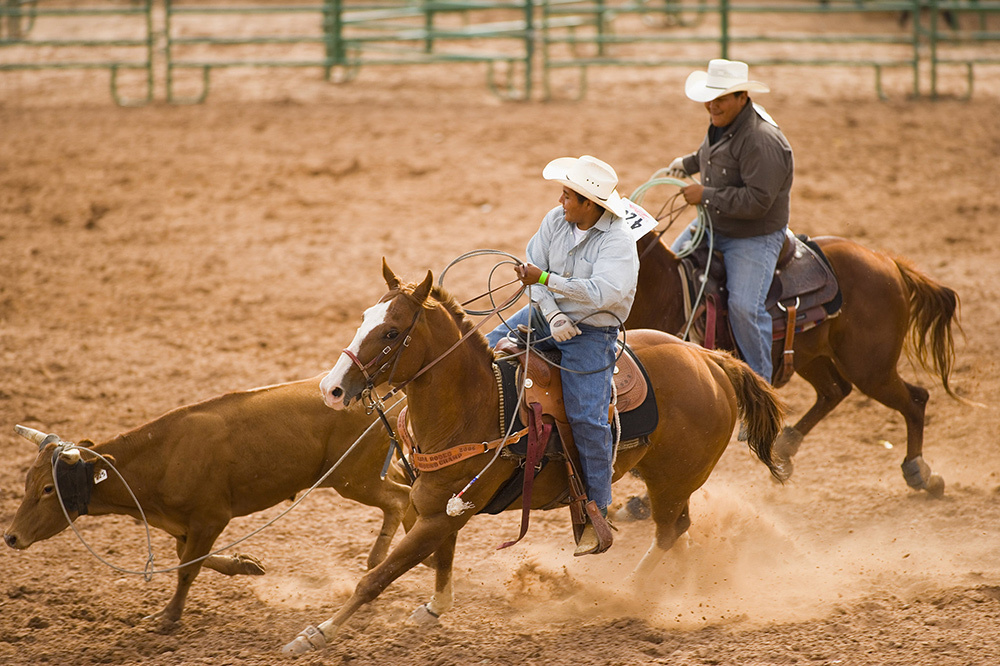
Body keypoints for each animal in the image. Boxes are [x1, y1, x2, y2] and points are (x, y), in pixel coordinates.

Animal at [280, 260, 780, 652]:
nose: (332, 389)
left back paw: (630, 592)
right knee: (681, 532)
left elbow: (379, 576)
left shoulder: (444, 514)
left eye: (391, 331)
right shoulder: (438, 507)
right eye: (364, 317)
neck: (477, 405)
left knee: (669, 531)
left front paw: (315, 634)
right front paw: (435, 608)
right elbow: (439, 560)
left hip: (672, 481)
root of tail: (711, 360)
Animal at [624, 231, 960, 496]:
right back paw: (785, 447)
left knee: (915, 400)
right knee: (835, 391)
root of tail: (888, 262)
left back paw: (920, 473)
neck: (665, 292)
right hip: (812, 357)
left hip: (871, 369)